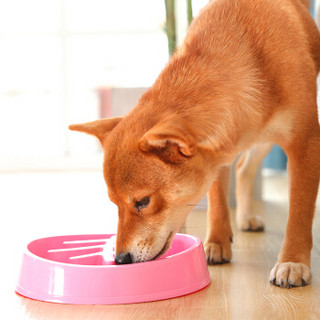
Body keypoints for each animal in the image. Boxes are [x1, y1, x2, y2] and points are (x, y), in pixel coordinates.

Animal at [70, 0, 320, 288]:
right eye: (114, 203)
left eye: (143, 202)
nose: (120, 259)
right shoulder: (219, 152)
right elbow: (217, 198)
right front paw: (216, 243)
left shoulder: (305, 144)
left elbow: (299, 212)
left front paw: (293, 260)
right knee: (242, 169)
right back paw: (244, 218)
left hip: (267, 138)